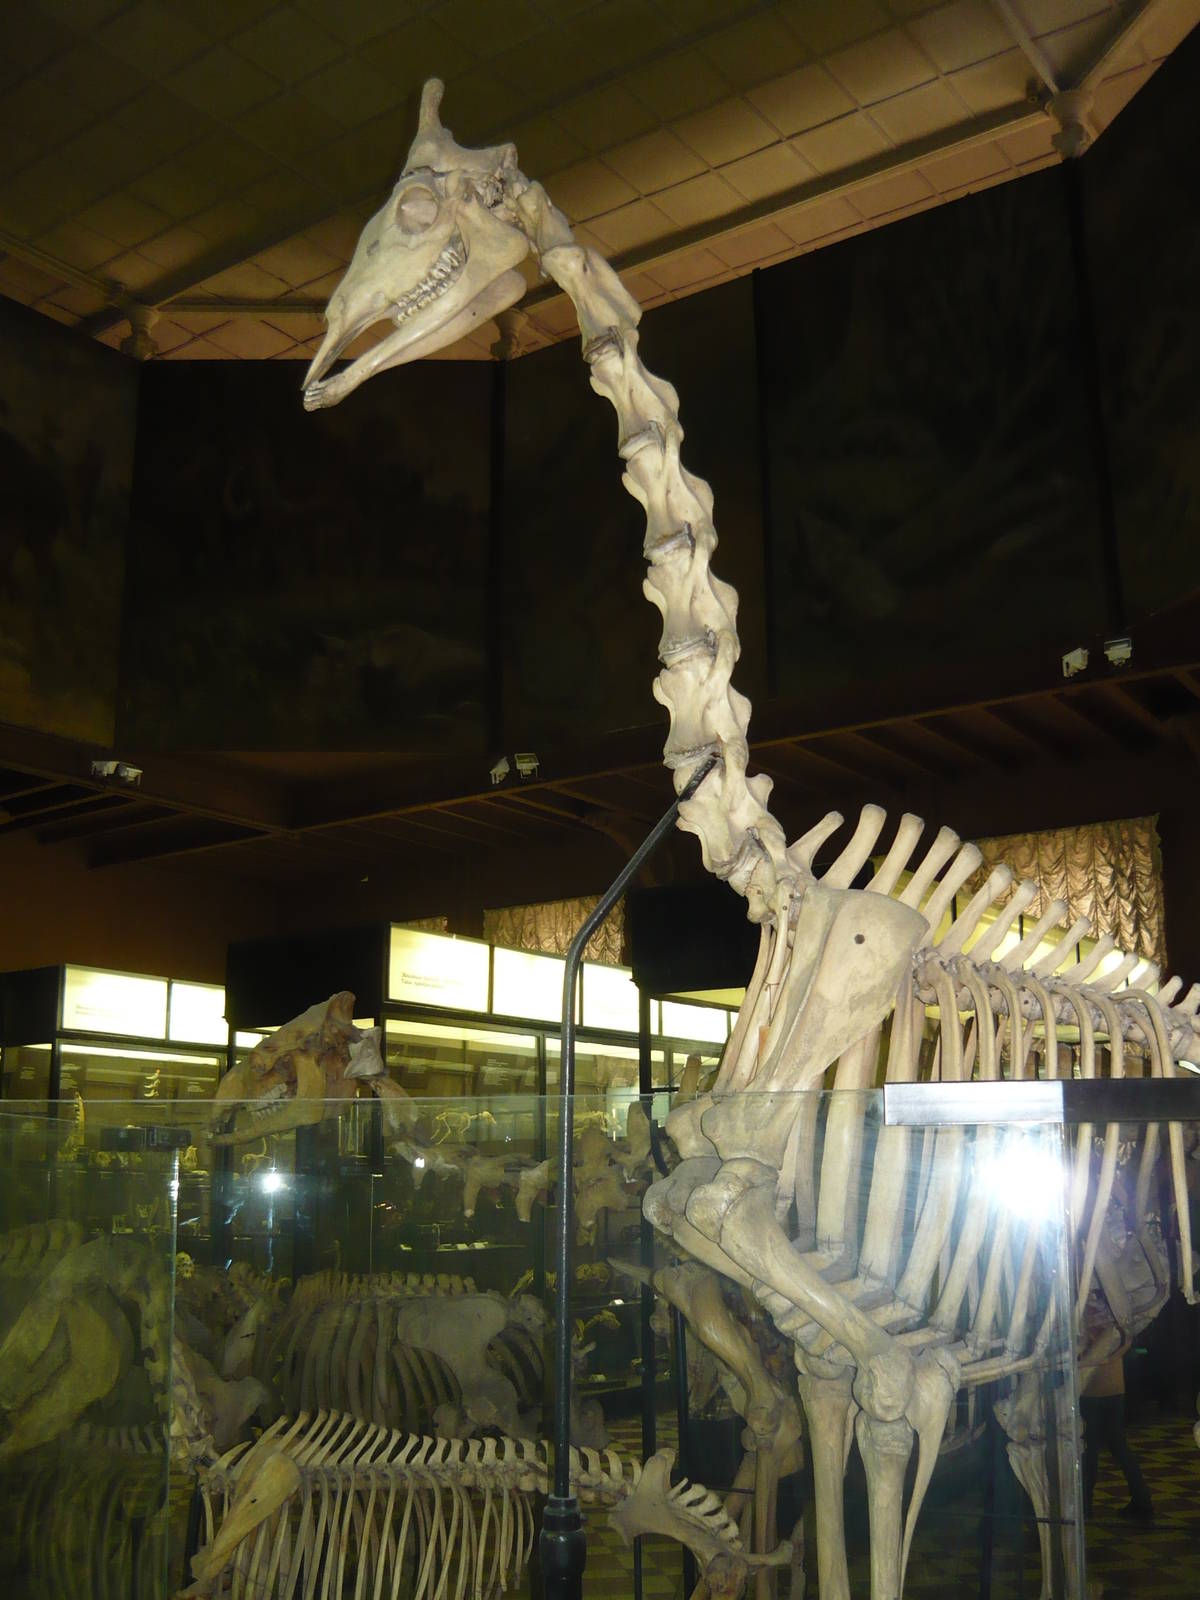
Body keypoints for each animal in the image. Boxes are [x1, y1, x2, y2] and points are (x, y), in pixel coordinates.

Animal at [303, 80, 1200, 1600]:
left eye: (421, 205)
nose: (319, 362)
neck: (773, 881)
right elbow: (823, 1380)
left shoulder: (837, 1246)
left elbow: (868, 1360)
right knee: (1042, 1417)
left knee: (1033, 1405)